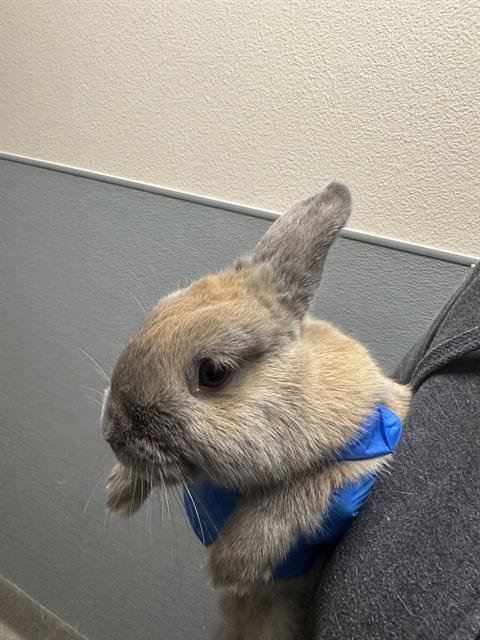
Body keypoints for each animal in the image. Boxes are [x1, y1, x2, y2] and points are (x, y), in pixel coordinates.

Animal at [101, 182, 411, 640]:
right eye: (158, 312)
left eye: (213, 372)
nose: (111, 434)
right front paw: (119, 490)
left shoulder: (373, 445)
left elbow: (300, 487)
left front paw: (231, 563)